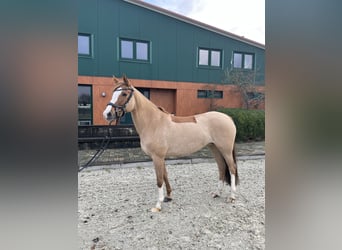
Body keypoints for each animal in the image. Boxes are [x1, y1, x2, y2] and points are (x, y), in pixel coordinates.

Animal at [103, 75, 239, 212]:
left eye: (124, 94)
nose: (107, 114)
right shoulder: (161, 157)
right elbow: (165, 175)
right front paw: (168, 197)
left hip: (225, 149)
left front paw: (158, 205)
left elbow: (159, 180)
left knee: (232, 168)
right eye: (113, 93)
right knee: (221, 168)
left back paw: (232, 197)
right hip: (215, 148)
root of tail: (228, 118)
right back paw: (217, 193)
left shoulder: (157, 157)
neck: (154, 122)